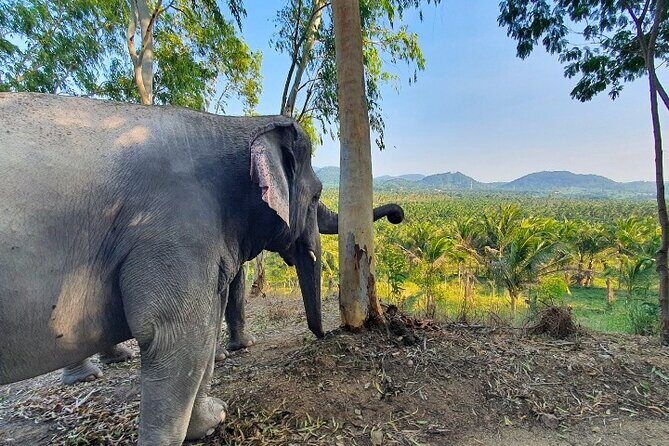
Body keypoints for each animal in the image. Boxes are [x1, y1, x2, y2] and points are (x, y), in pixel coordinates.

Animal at [0, 93, 400, 444]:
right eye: (316, 195)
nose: (326, 334)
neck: (234, 125)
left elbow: (203, 329)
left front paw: (211, 419)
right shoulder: (177, 230)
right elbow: (176, 334)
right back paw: (89, 375)